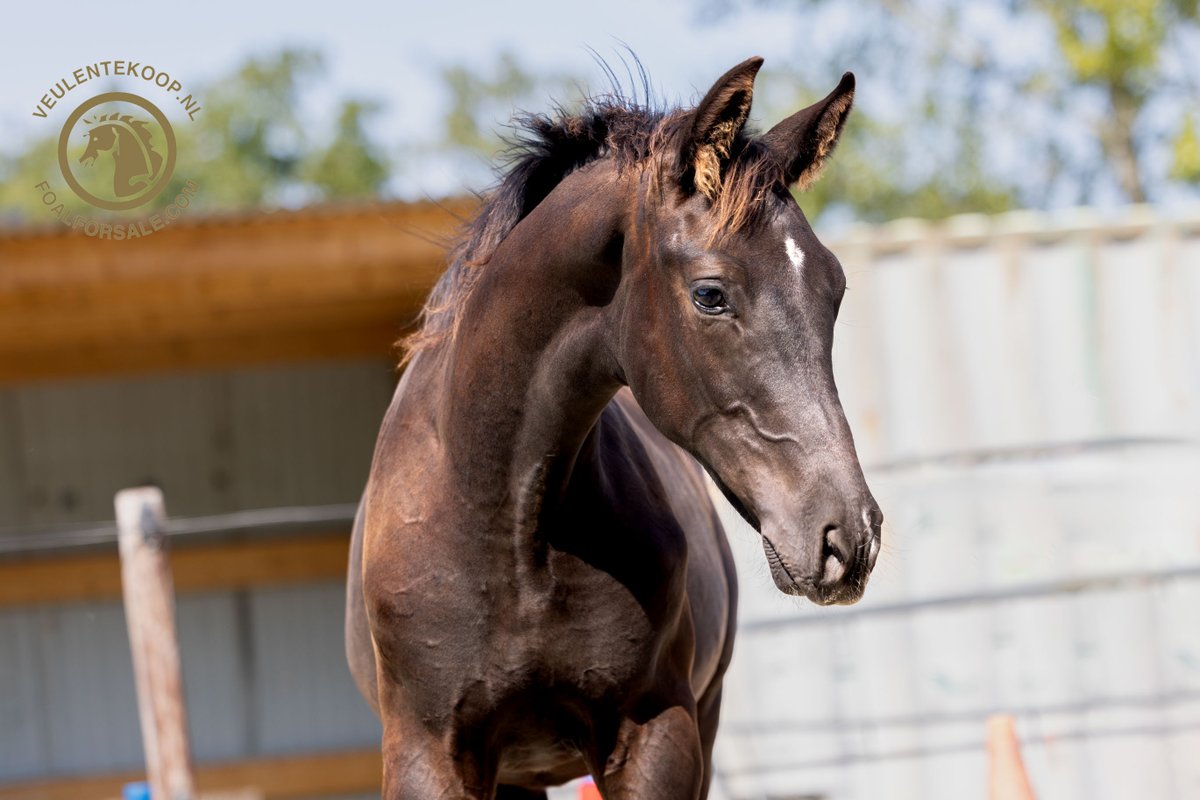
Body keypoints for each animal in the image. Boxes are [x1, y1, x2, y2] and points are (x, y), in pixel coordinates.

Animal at [345, 56, 882, 799]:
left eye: (834, 290)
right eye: (710, 294)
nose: (848, 537)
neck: (505, 519)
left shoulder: (658, 735)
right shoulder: (427, 756)